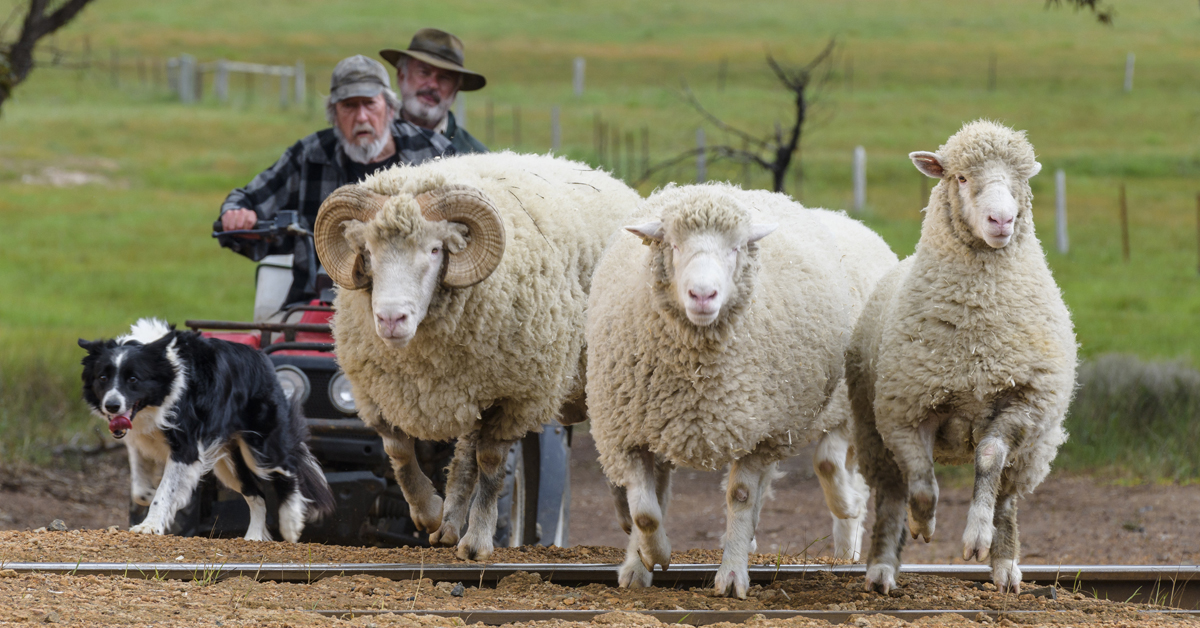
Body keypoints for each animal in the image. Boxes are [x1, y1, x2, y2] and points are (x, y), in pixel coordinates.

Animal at [79, 319, 333, 540]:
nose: (112, 405)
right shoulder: (139, 439)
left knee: (288, 468)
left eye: (133, 379)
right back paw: (253, 538)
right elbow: (140, 490)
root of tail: (262, 357)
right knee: (257, 495)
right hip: (228, 461)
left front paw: (150, 525)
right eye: (103, 377)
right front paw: (154, 499)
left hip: (260, 447)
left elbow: (165, 491)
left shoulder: (186, 447)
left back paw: (291, 524)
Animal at [314, 151, 643, 559]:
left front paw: (478, 540)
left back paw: (629, 513)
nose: (391, 319)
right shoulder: (377, 392)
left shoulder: (516, 395)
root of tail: (611, 179)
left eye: (435, 250)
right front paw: (429, 511)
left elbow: (491, 463)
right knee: (465, 455)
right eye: (368, 252)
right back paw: (448, 525)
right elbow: (399, 450)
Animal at [585, 182, 897, 600]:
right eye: (674, 245)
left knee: (829, 466)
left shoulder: (758, 434)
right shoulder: (625, 433)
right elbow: (646, 511)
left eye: (735, 248)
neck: (696, 373)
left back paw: (846, 522)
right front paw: (649, 558)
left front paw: (732, 574)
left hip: (828, 409)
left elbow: (741, 497)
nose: (703, 295)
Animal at [844, 120, 1080, 597]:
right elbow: (922, 485)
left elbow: (989, 459)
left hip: (1034, 449)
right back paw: (882, 569)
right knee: (892, 494)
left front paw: (976, 538)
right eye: (962, 177)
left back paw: (1005, 565)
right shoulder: (905, 412)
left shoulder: (1022, 402)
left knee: (1007, 497)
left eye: (1021, 180)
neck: (977, 338)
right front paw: (923, 525)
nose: (1002, 220)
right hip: (873, 435)